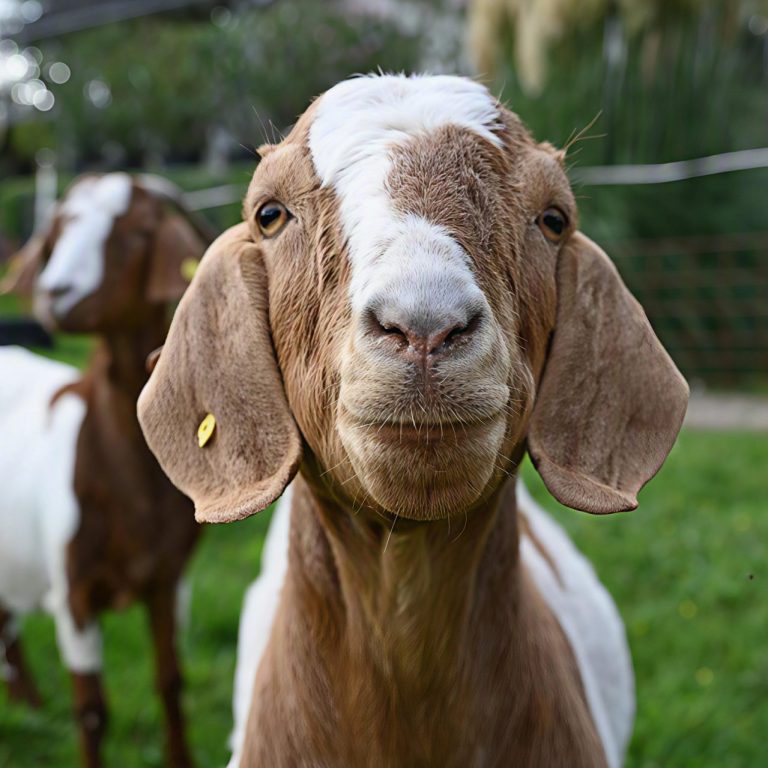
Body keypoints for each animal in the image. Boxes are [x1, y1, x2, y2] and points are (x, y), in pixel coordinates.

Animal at [0, 172, 209, 768]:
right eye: (55, 233)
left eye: (138, 233)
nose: (55, 293)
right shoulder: (73, 592)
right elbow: (92, 711)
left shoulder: (169, 579)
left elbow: (171, 681)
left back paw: (27, 700)